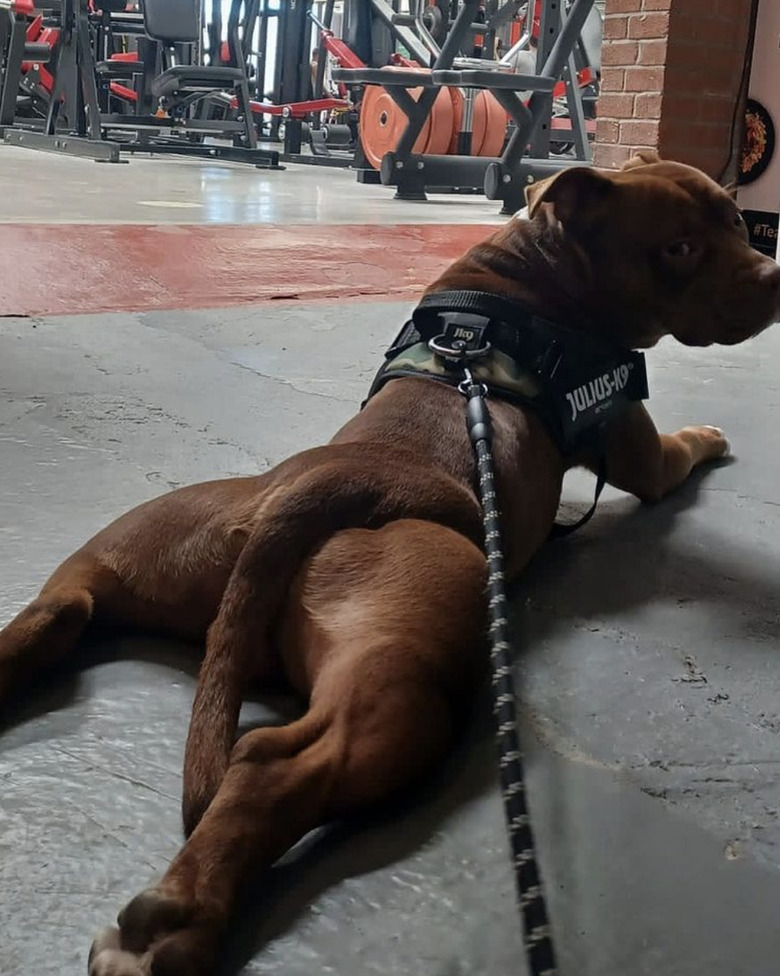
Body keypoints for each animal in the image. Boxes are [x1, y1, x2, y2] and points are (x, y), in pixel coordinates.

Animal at [1, 154, 780, 976]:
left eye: (739, 222)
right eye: (679, 249)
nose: (773, 277)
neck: (537, 270)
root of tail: (315, 487)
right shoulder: (639, 447)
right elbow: (679, 454)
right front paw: (712, 436)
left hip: (142, 545)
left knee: (63, 610)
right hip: (414, 667)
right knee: (275, 763)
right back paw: (175, 924)